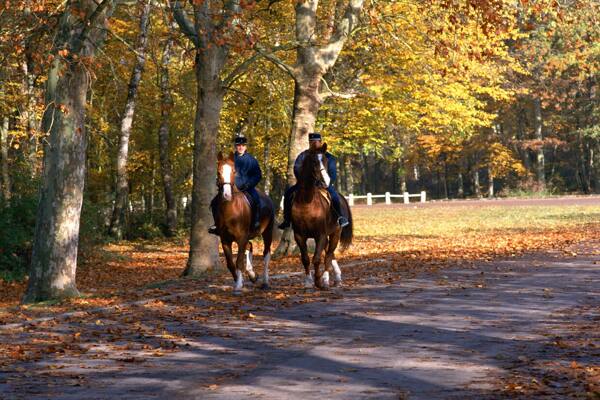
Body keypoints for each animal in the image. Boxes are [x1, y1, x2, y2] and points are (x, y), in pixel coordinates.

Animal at [216, 152, 274, 292]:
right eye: (219, 172)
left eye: (233, 171)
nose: (226, 195)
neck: (230, 208)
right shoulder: (225, 240)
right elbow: (230, 263)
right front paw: (240, 280)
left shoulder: (241, 237)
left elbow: (238, 261)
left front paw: (238, 285)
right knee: (250, 246)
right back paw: (252, 274)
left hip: (267, 232)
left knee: (266, 254)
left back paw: (265, 282)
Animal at [290, 145, 352, 290]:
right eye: (313, 162)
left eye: (325, 160)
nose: (326, 181)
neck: (306, 202)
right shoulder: (299, 236)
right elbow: (305, 258)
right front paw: (308, 281)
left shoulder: (321, 235)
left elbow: (317, 258)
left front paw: (319, 281)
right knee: (330, 254)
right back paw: (336, 277)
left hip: (335, 234)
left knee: (328, 255)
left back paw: (326, 279)